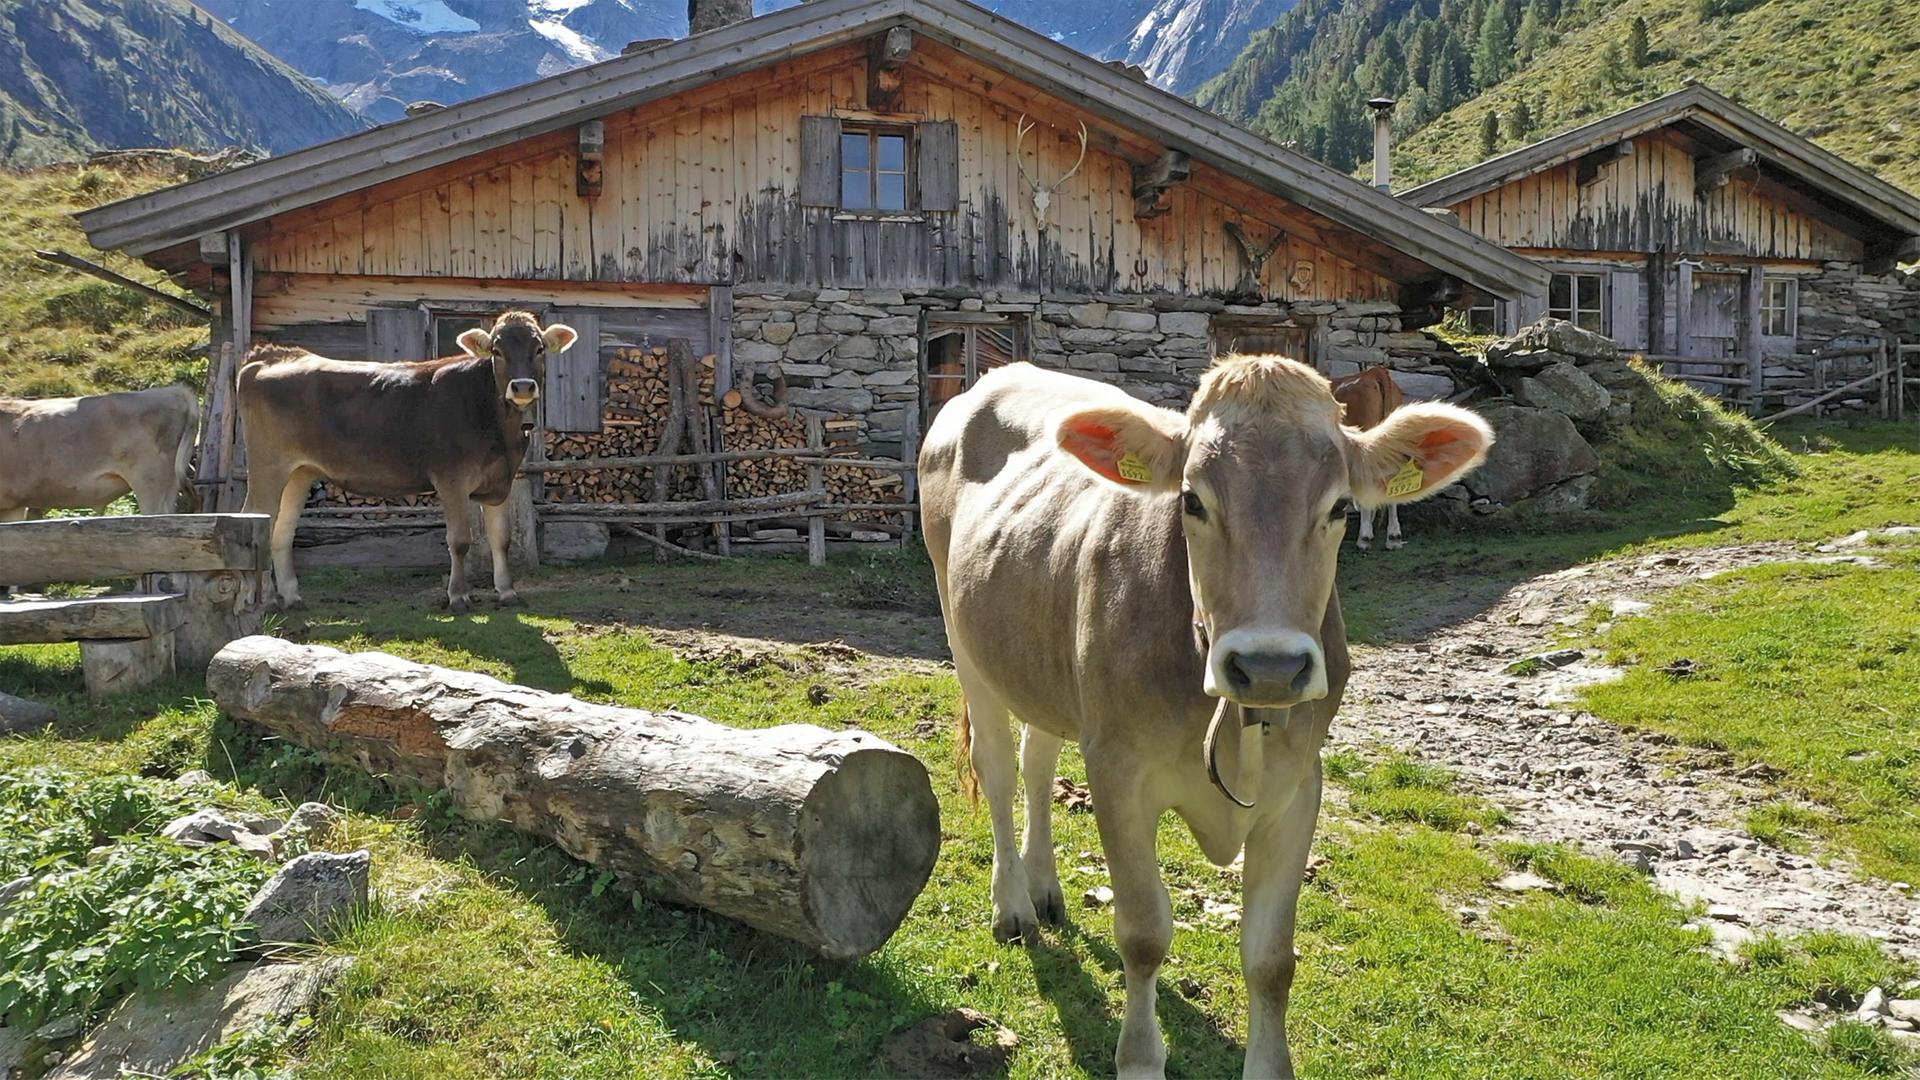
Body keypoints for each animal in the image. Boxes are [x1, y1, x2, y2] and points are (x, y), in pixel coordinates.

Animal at [238, 311, 576, 613]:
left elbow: (502, 538)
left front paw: (507, 593)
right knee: (256, 523)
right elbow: (459, 540)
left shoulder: (499, 481)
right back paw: (261, 601)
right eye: (497, 350)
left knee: (281, 532)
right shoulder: (451, 479)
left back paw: (291, 598)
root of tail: (271, 356)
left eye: (539, 349)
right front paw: (458, 597)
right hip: (268, 467)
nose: (523, 387)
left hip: (299, 472)